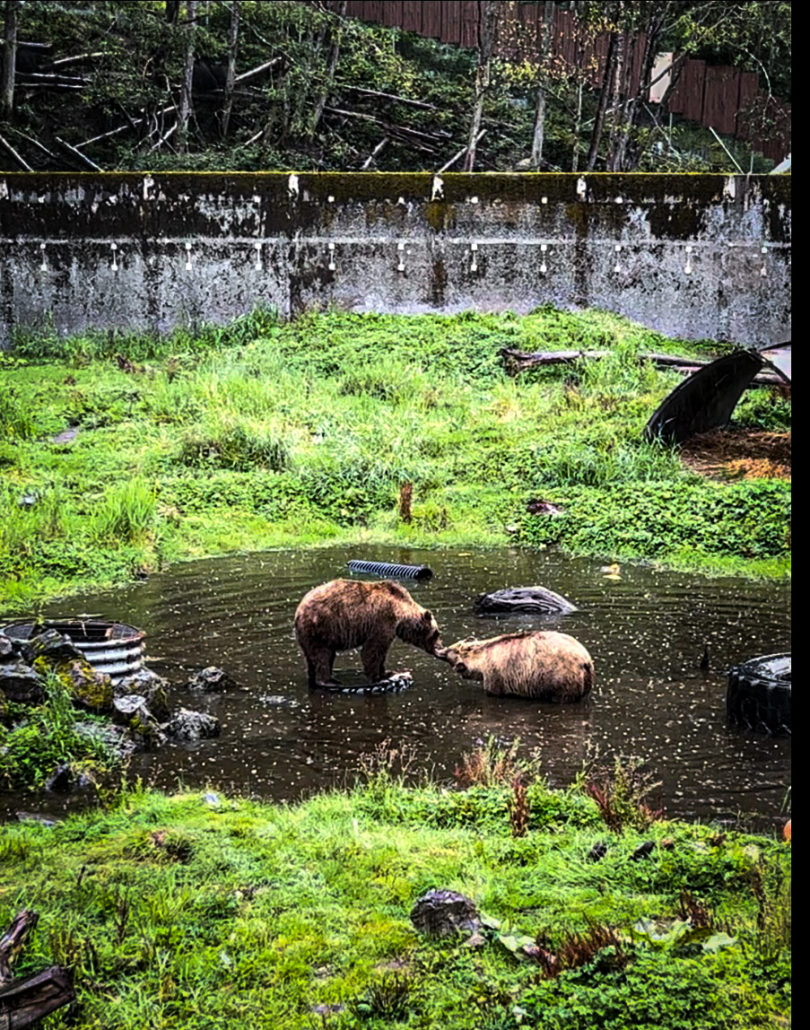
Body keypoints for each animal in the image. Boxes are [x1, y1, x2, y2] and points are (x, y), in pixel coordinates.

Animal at [292, 576, 441, 688]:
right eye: (436, 633)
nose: (440, 648)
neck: (402, 613)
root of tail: (298, 611)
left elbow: (381, 653)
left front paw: (387, 672)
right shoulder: (383, 620)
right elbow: (372, 650)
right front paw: (378, 678)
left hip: (312, 634)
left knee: (313, 657)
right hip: (320, 628)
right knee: (322, 655)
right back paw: (329, 681)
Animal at [434, 626, 593, 700]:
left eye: (449, 657)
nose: (439, 649)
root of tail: (585, 661)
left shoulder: (495, 675)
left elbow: (493, 692)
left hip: (561, 678)